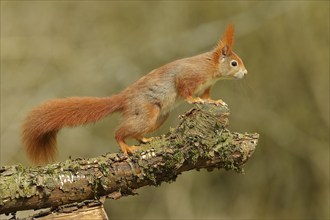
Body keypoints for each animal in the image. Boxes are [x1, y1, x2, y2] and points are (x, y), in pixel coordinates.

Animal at [21, 24, 248, 164]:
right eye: (234, 63)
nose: (245, 73)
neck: (211, 68)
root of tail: (123, 98)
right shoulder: (188, 76)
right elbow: (184, 89)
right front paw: (194, 99)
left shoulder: (207, 85)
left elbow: (209, 96)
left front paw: (215, 101)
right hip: (146, 113)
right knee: (119, 131)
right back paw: (125, 145)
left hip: (159, 117)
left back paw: (144, 140)